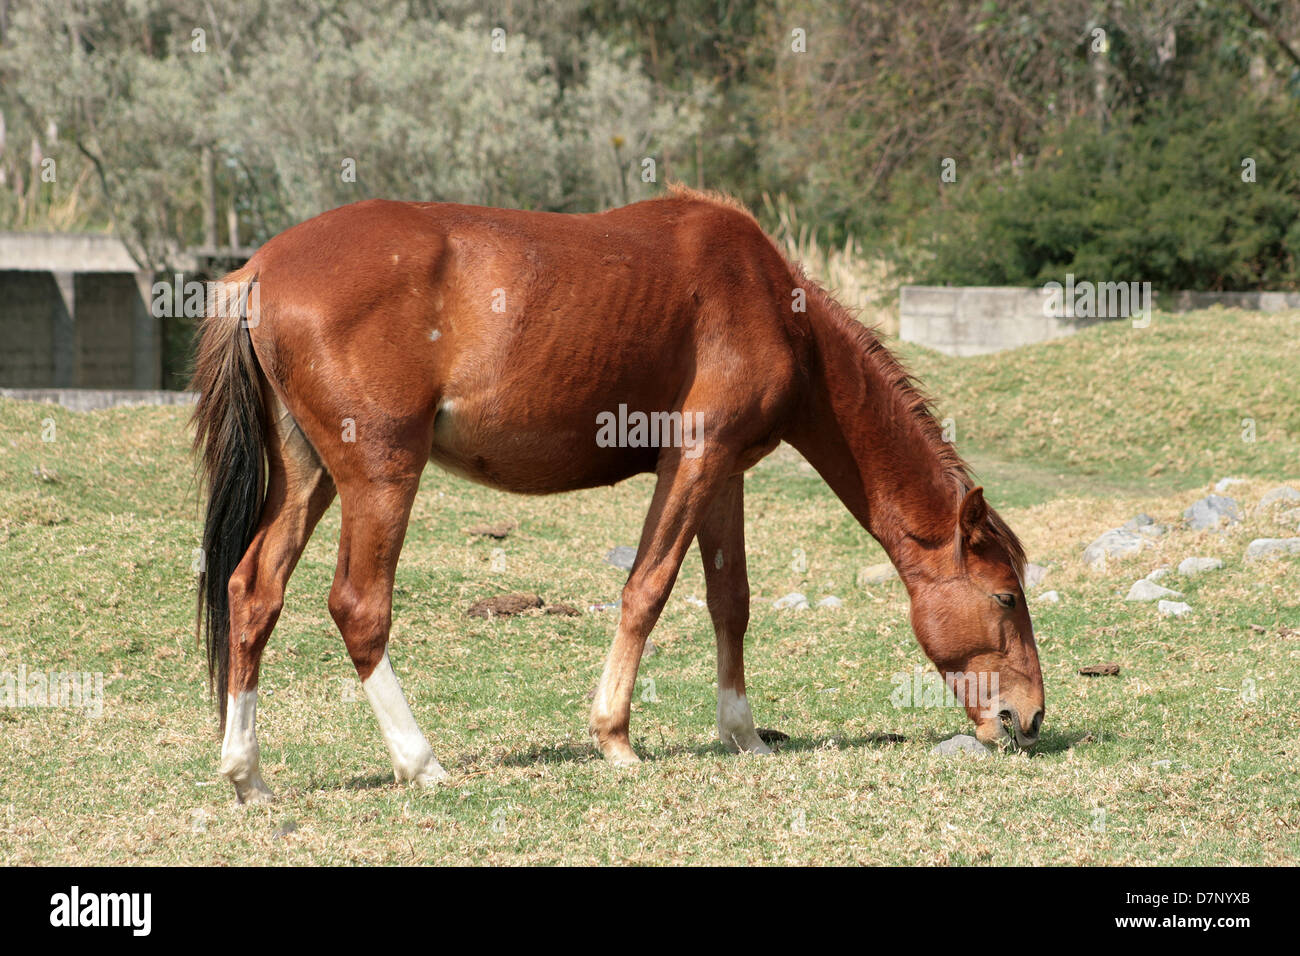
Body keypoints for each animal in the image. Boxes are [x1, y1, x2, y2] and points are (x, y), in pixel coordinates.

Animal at [189, 184, 1045, 801]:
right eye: (1006, 597)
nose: (1030, 717)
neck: (776, 305)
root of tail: (255, 272)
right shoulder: (693, 461)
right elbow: (648, 589)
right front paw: (615, 737)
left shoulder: (725, 474)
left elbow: (730, 601)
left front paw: (743, 733)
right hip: (381, 475)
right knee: (358, 606)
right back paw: (421, 762)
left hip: (308, 477)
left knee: (253, 592)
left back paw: (248, 775)